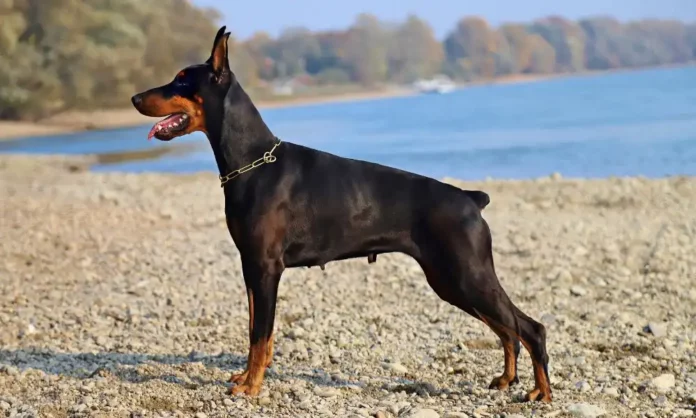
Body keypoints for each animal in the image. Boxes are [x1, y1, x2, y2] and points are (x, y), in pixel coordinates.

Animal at [132, 25, 556, 402]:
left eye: (182, 81)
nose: (135, 97)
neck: (253, 161)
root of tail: (471, 199)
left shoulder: (265, 267)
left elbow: (260, 335)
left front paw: (251, 387)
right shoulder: (251, 266)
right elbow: (256, 329)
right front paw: (246, 377)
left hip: (465, 274)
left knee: (530, 328)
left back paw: (541, 392)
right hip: (452, 280)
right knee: (508, 329)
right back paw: (507, 380)